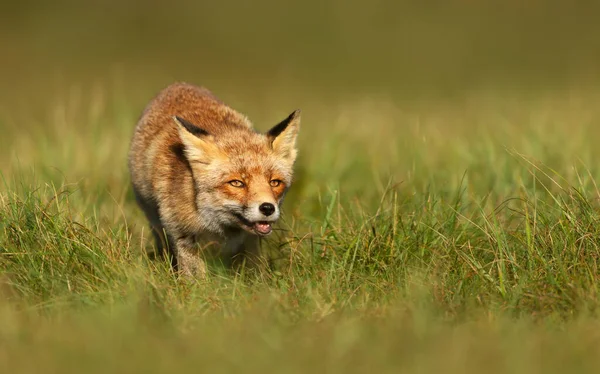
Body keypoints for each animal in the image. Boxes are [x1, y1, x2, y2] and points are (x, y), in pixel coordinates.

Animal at [129, 82, 302, 278]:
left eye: (274, 182)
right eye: (237, 183)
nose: (267, 208)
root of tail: (179, 85)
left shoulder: (250, 241)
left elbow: (254, 271)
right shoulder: (183, 236)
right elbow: (196, 279)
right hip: (155, 221)